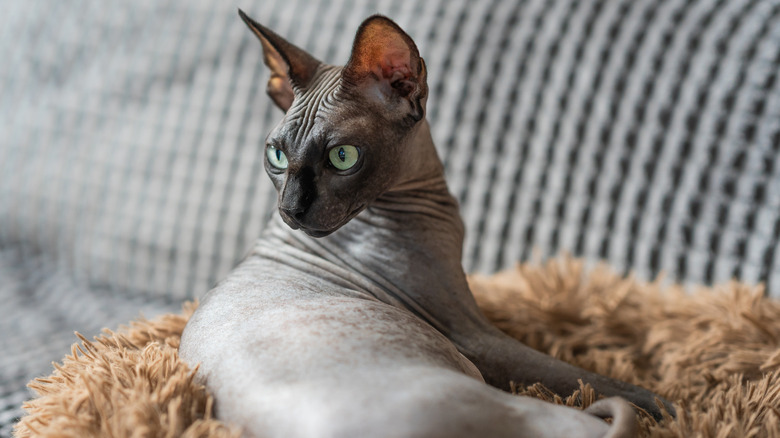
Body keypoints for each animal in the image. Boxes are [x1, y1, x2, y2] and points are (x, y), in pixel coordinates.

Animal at [180, 11, 672, 438]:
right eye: (278, 155)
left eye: (343, 157)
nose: (291, 211)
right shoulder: (474, 335)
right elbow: (578, 373)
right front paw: (663, 403)